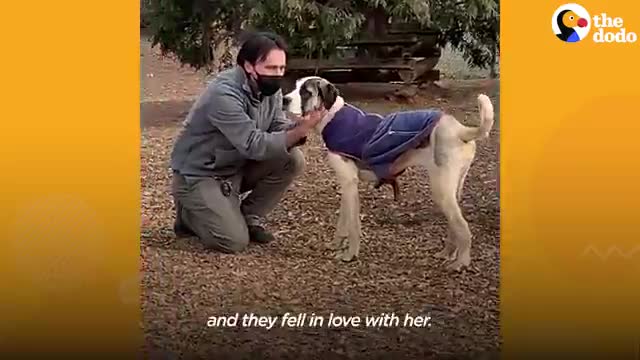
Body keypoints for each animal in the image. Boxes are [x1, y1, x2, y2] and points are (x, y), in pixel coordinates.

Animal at [284, 76, 496, 272]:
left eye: (306, 92)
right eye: (296, 87)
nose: (284, 99)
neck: (332, 116)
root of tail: (459, 129)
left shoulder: (350, 184)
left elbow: (353, 225)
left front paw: (350, 255)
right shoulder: (346, 184)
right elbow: (343, 221)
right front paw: (336, 244)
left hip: (441, 190)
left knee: (463, 228)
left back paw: (461, 262)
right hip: (453, 188)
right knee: (455, 225)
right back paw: (448, 253)